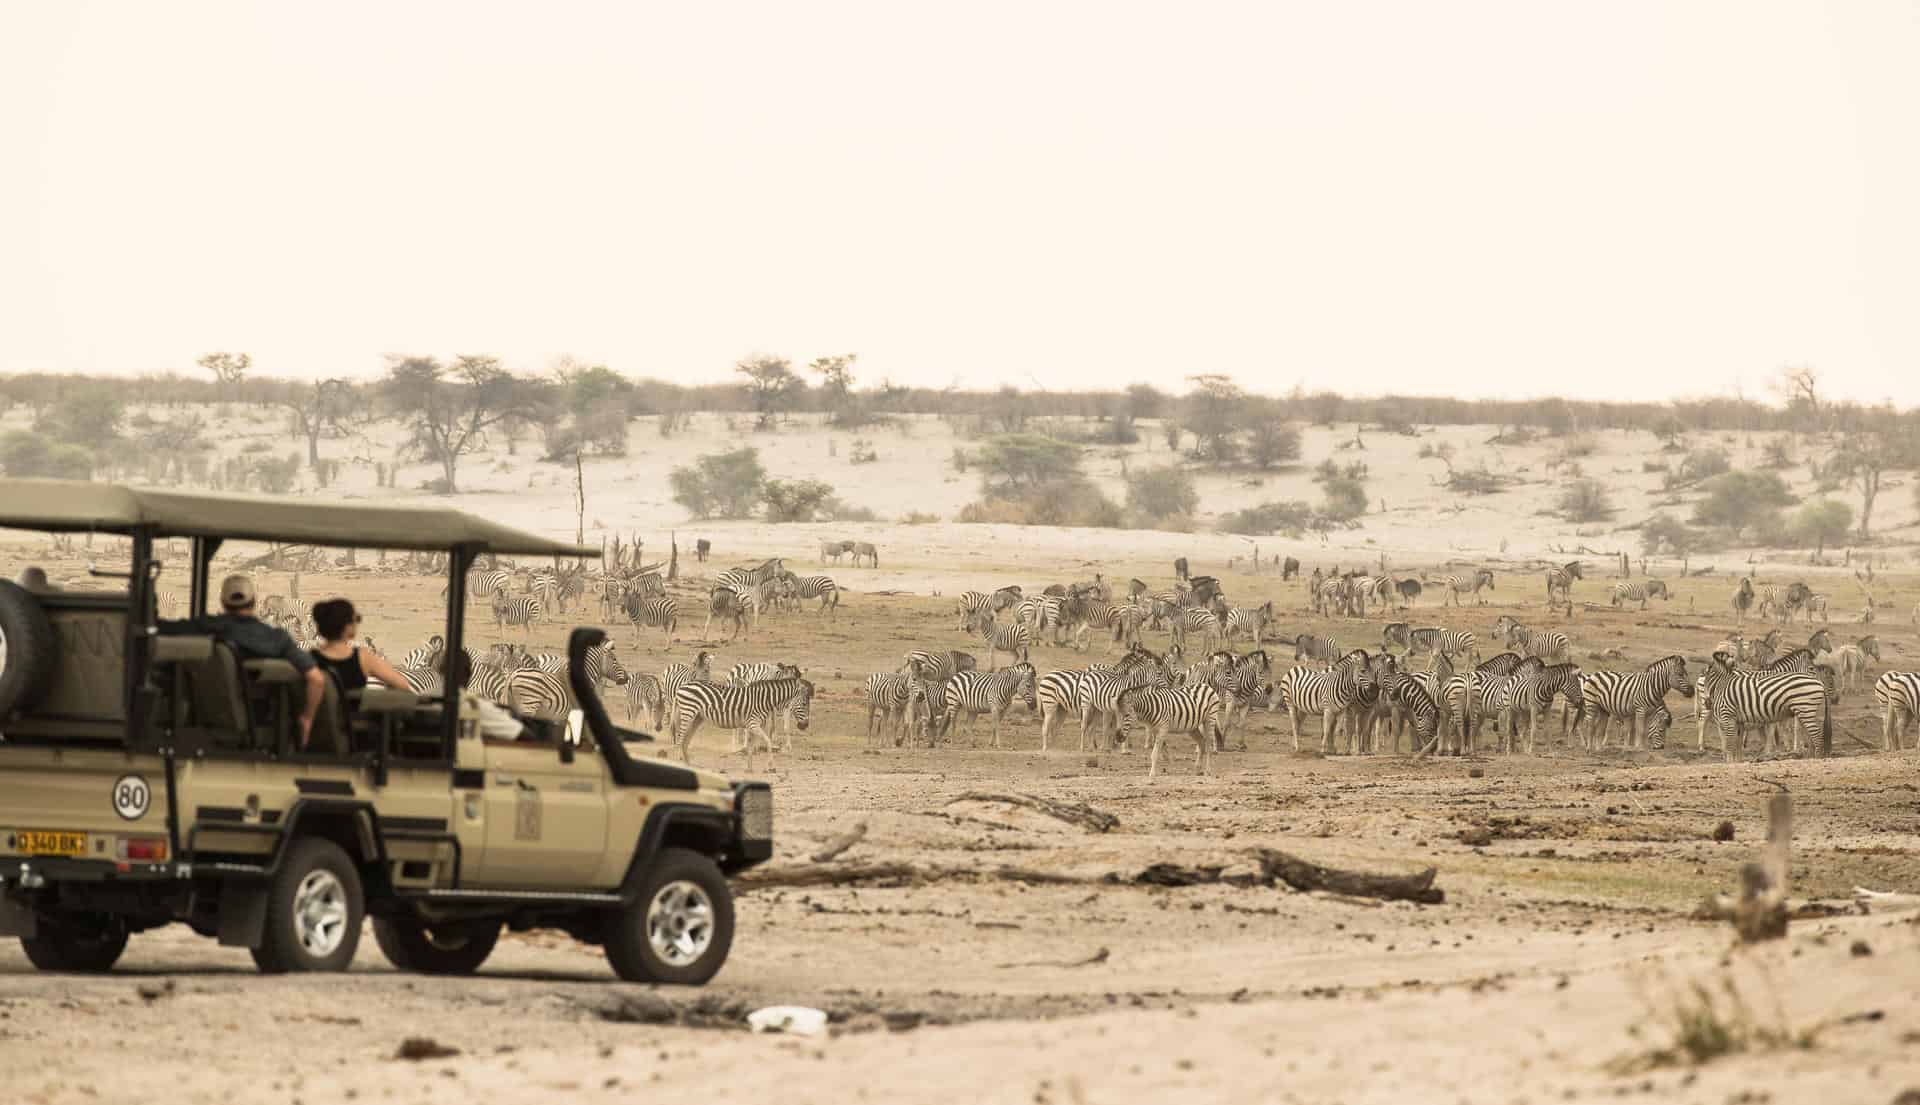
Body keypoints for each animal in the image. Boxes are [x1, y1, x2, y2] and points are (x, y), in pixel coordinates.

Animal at [673, 676, 813, 770]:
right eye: (804, 704)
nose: (805, 726)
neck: (764, 700)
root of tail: (682, 686)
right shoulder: (753, 724)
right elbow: (768, 741)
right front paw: (771, 766)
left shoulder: (752, 725)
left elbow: (751, 746)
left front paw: (749, 767)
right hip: (688, 712)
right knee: (680, 738)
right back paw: (679, 763)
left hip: (697, 717)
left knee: (686, 739)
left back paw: (688, 764)